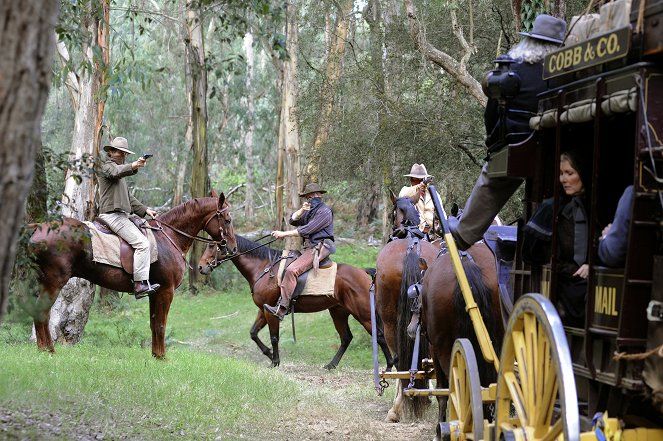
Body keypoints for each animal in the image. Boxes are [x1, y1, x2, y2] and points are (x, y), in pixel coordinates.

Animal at [27, 192, 237, 358]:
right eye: (227, 220)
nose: (233, 248)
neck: (168, 237)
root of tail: (39, 227)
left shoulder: (155, 292)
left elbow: (154, 324)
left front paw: (155, 355)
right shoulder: (166, 291)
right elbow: (161, 325)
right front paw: (162, 358)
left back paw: (44, 349)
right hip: (54, 282)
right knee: (42, 313)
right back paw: (48, 350)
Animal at [197, 227, 394, 368]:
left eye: (212, 245)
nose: (200, 267)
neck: (263, 268)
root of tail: (363, 273)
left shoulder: (271, 312)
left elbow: (274, 337)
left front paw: (275, 362)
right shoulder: (263, 310)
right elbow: (253, 333)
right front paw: (269, 354)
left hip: (364, 314)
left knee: (379, 336)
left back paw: (390, 366)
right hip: (338, 312)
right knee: (346, 338)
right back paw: (331, 365)